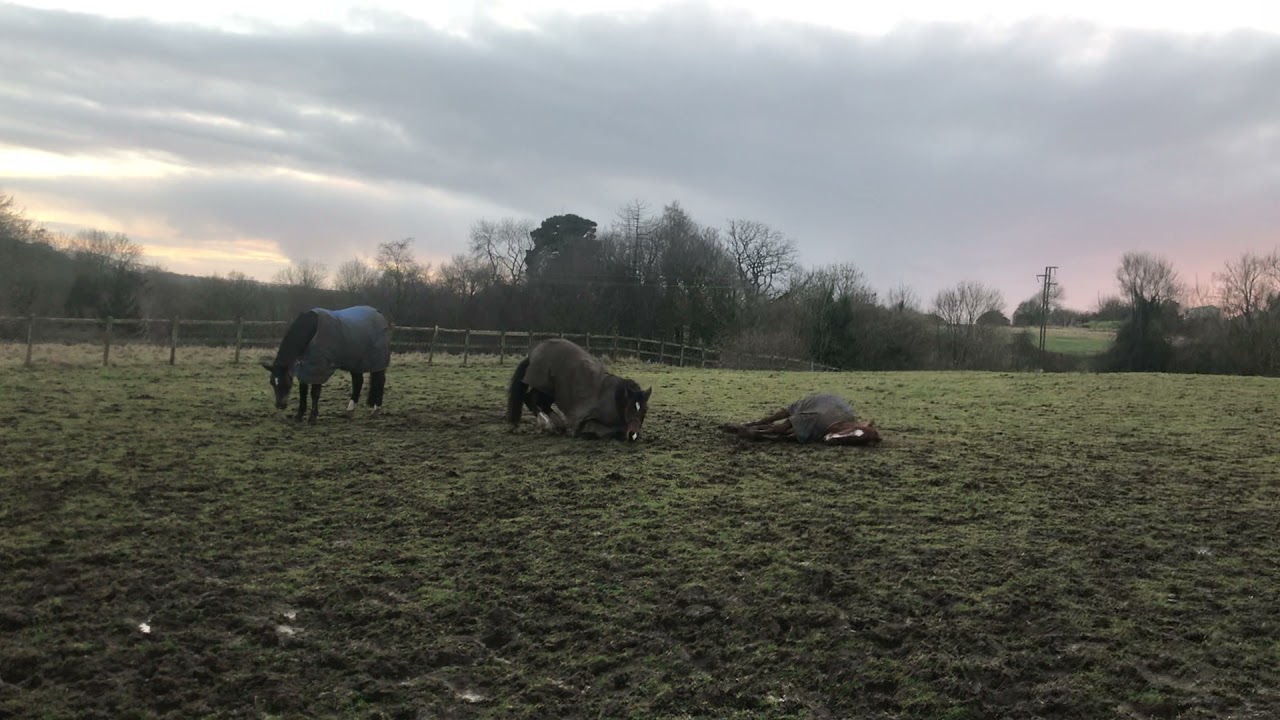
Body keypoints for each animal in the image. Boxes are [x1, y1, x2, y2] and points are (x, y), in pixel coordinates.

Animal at [260, 305, 391, 424]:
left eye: (286, 383)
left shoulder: (318, 368)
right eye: (272, 382)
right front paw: (299, 416)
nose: (280, 405)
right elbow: (303, 392)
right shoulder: (305, 368)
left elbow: (314, 393)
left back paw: (376, 410)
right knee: (358, 382)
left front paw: (312, 418)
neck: (311, 329)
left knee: (379, 382)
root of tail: (378, 313)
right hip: (355, 363)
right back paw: (349, 410)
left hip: (378, 362)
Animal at [506, 338, 652, 442]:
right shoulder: (586, 418)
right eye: (629, 408)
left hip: (550, 391)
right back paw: (546, 424)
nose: (633, 435)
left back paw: (559, 426)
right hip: (542, 386)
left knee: (543, 403)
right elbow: (605, 431)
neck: (615, 399)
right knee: (529, 399)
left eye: (645, 410)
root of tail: (532, 355)